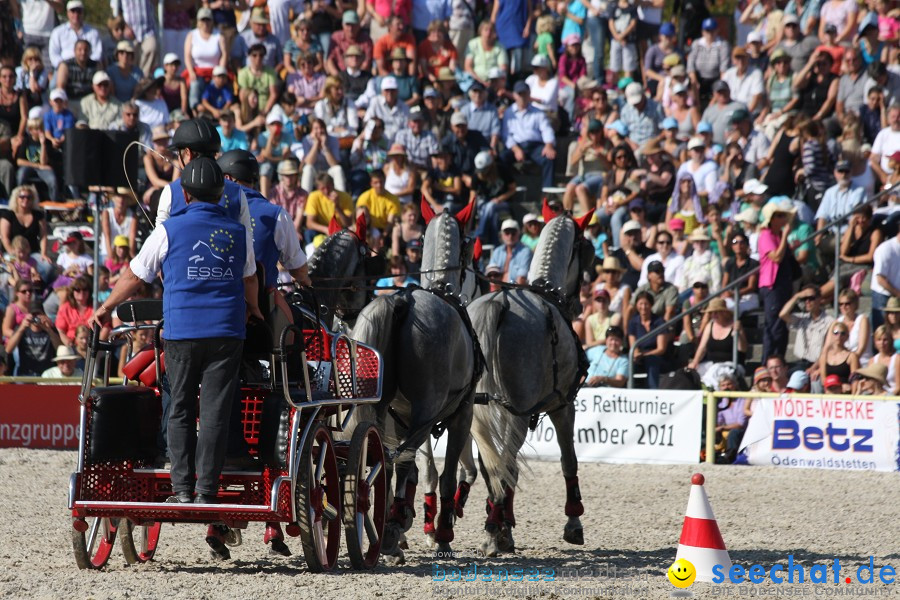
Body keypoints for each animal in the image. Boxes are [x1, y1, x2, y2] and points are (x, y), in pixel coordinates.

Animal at [350, 203, 486, 564]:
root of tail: (402, 303)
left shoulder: (402, 416)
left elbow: (413, 471)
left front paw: (402, 520)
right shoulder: (461, 413)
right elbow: (447, 474)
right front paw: (442, 536)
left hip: (383, 409)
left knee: (384, 458)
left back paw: (387, 531)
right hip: (429, 409)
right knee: (401, 457)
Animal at [468, 205, 596, 556]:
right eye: (589, 251)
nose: (578, 303)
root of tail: (498, 305)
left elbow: (501, 468)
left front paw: (505, 526)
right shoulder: (563, 405)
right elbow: (569, 461)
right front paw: (573, 522)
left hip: (477, 412)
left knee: (494, 465)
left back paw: (494, 527)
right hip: (518, 413)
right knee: (505, 463)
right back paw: (493, 530)